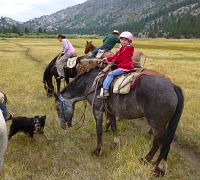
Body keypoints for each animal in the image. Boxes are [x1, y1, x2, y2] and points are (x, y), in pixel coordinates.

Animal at [54, 68, 184, 176]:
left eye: (57, 108)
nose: (63, 126)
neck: (90, 84)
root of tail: (173, 87)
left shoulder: (98, 110)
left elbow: (99, 131)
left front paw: (98, 151)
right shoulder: (111, 112)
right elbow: (113, 127)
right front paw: (116, 144)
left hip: (157, 124)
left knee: (162, 145)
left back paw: (159, 169)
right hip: (160, 125)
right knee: (158, 143)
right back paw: (146, 160)